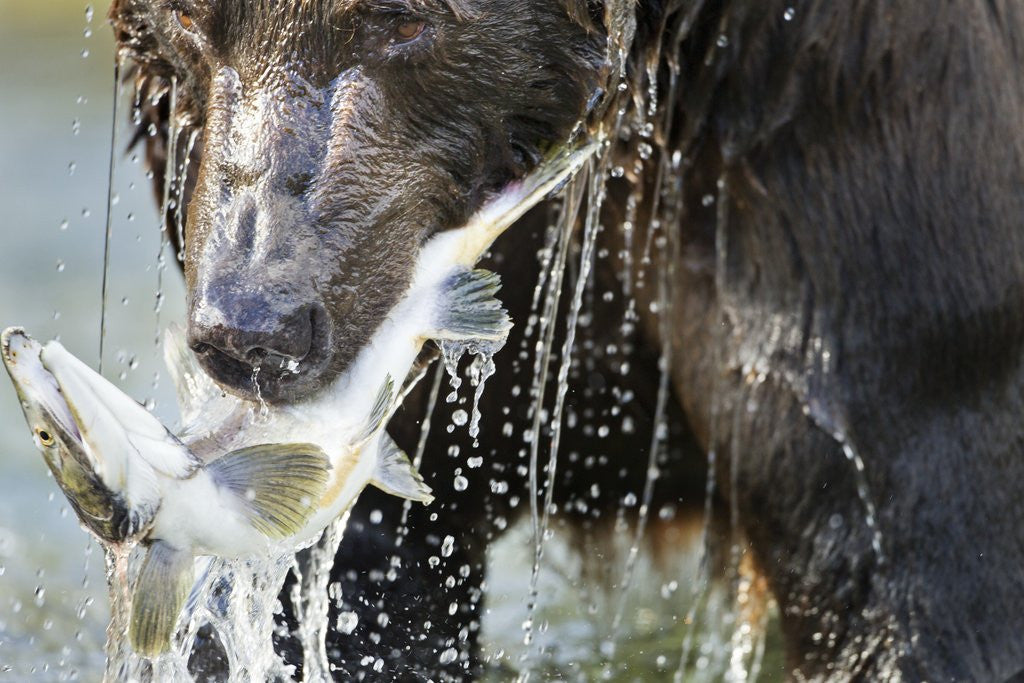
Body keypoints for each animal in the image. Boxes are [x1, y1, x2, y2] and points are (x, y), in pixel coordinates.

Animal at [108, 0, 1024, 680]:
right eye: (186, 13)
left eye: (402, 18)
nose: (255, 327)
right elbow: (367, 564)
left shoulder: (846, 141)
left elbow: (912, 559)